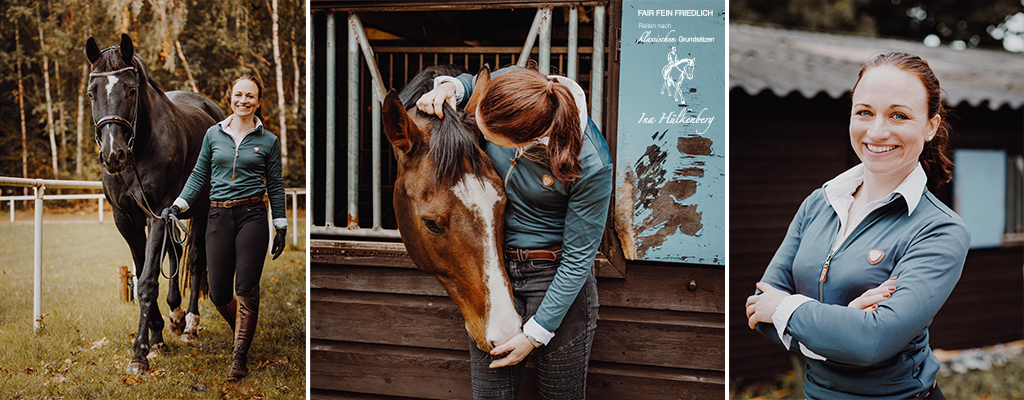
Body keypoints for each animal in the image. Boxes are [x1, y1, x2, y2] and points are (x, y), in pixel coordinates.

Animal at [86, 35, 226, 376]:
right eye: (92, 93)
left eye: (131, 90)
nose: (113, 155)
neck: (139, 151)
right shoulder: (127, 219)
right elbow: (141, 276)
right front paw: (156, 338)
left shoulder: (159, 215)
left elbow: (148, 281)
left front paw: (139, 353)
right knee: (174, 255)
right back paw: (175, 315)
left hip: (201, 211)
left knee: (195, 260)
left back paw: (190, 323)